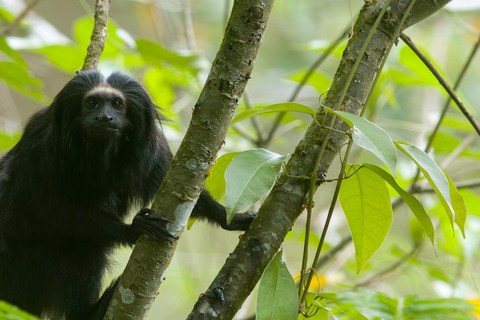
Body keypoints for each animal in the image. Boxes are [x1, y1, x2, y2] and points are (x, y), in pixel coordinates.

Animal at [0, 72, 255, 320]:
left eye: (116, 104)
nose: (104, 118)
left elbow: (185, 191)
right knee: (85, 246)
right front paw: (133, 229)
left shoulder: (152, 149)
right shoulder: (42, 147)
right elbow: (46, 213)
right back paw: (87, 313)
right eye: (92, 103)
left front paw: (229, 219)